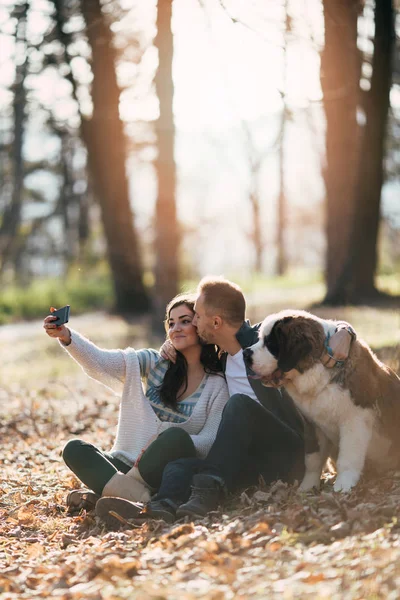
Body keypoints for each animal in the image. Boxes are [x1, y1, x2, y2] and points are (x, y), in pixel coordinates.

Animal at [242, 310, 400, 492]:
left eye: (270, 343)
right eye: (259, 339)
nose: (245, 353)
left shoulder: (355, 419)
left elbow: (349, 455)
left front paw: (343, 484)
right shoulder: (312, 424)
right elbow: (313, 459)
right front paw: (307, 487)